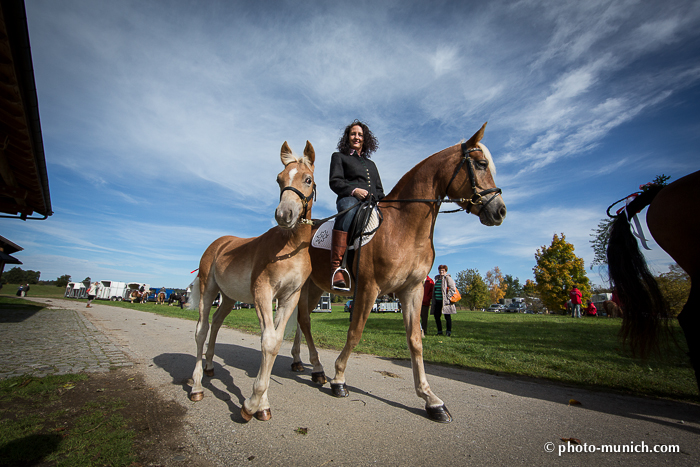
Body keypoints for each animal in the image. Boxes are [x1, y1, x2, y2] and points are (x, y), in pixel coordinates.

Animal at [187, 141, 316, 422]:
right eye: (279, 179)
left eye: (308, 179)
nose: (284, 214)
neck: (289, 247)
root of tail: (218, 243)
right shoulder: (262, 292)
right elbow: (267, 341)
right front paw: (251, 404)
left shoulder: (289, 297)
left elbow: (275, 342)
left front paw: (262, 405)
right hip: (207, 289)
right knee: (201, 330)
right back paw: (197, 386)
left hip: (228, 298)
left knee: (216, 323)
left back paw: (210, 367)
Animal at [290, 124, 504, 424]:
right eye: (482, 164)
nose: (500, 211)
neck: (403, 226)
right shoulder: (369, 289)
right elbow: (355, 333)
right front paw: (339, 379)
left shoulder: (411, 290)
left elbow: (415, 340)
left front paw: (431, 399)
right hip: (310, 287)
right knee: (304, 321)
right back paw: (317, 368)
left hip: (314, 288)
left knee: (301, 320)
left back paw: (301, 362)